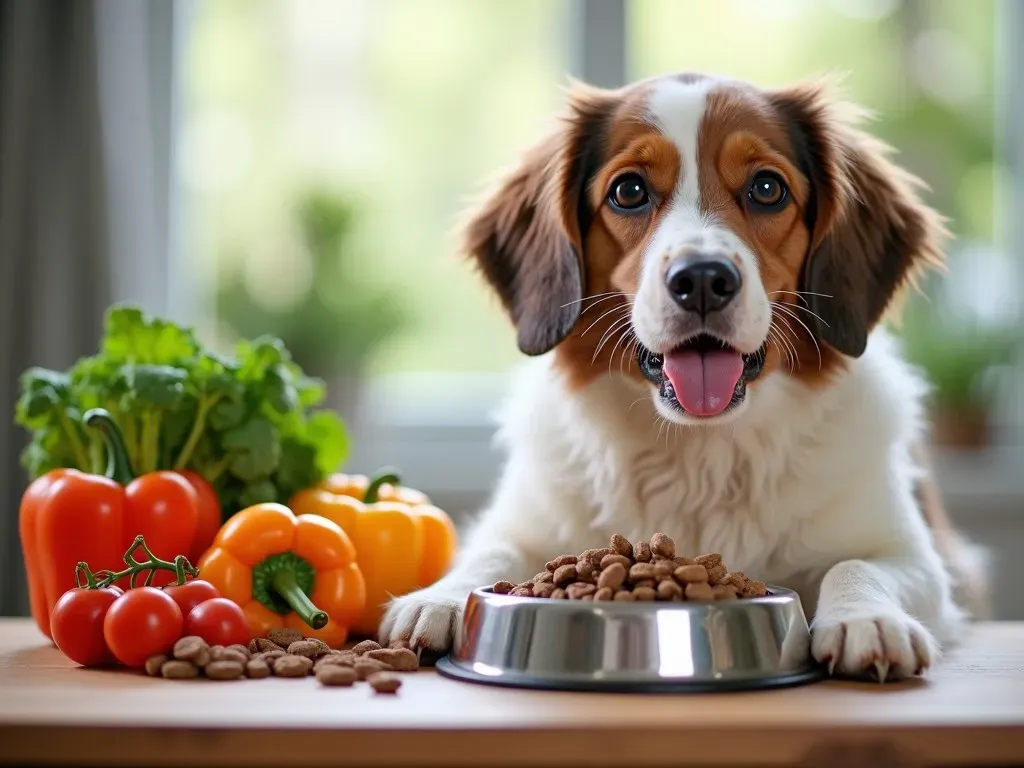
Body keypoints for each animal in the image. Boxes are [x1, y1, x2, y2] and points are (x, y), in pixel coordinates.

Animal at [380, 72, 987, 684]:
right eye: (629, 191)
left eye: (767, 188)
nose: (701, 279)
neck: (699, 450)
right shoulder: (520, 525)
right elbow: (489, 553)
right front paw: (440, 596)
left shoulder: (918, 559)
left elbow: (859, 564)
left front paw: (868, 619)